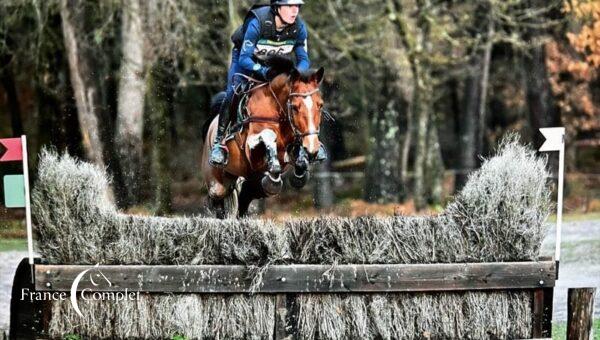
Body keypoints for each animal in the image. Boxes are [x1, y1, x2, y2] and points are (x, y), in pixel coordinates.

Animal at [200, 60, 324, 218]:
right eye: (295, 107)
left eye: (320, 105)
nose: (312, 147)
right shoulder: (251, 146)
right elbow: (268, 136)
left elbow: (297, 160)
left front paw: (300, 165)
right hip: (217, 182)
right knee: (218, 200)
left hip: (245, 177)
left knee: (248, 193)